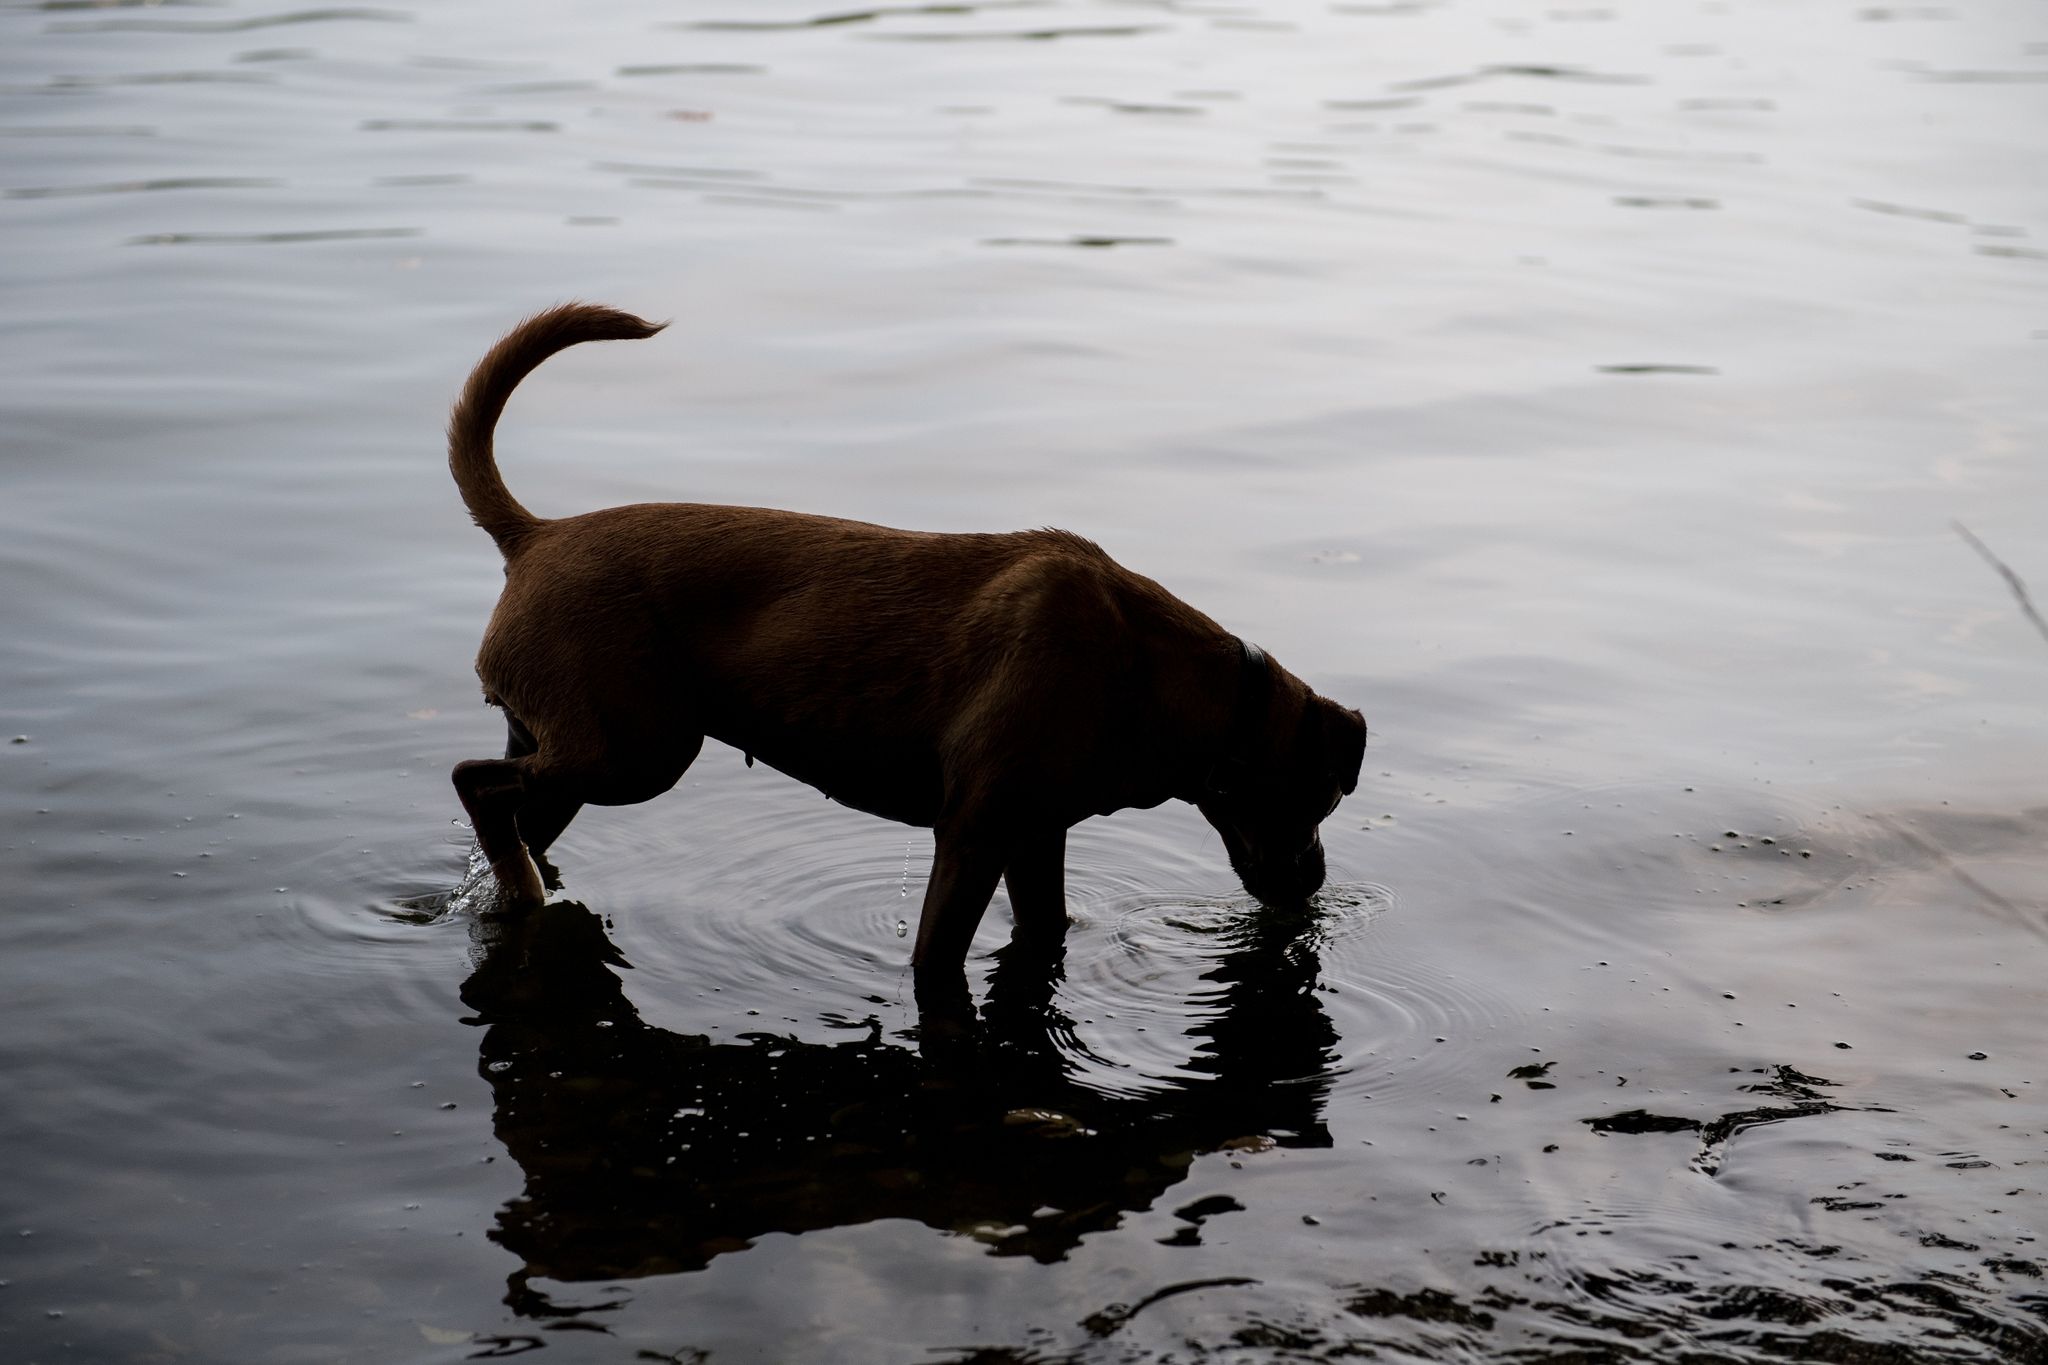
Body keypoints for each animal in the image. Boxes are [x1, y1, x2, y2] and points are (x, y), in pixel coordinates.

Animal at [456, 306, 1368, 994]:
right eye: (1327, 796)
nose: (1319, 879)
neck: (1182, 684)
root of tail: (534, 535)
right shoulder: (973, 833)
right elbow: (942, 956)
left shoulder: (1036, 836)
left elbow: (1046, 923)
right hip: (636, 751)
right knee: (476, 783)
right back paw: (521, 887)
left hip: (579, 750)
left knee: (510, 804)